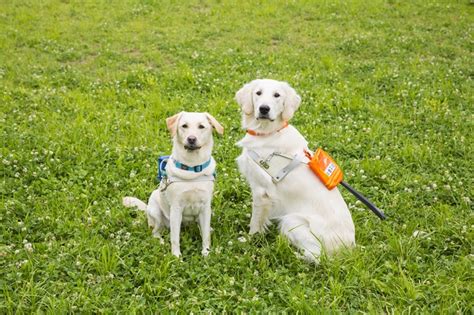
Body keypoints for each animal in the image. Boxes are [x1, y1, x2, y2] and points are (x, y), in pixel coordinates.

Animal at [124, 112, 224, 258]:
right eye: (184, 126)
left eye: (201, 126)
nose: (191, 139)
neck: (192, 167)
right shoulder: (176, 208)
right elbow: (175, 238)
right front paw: (176, 257)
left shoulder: (205, 207)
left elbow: (205, 236)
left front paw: (206, 254)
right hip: (156, 211)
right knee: (155, 232)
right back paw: (160, 241)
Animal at [235, 79, 354, 264]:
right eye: (258, 93)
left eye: (277, 95)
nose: (264, 109)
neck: (268, 132)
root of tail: (349, 248)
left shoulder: (262, 192)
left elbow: (255, 223)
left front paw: (249, 240)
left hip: (291, 220)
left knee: (316, 257)